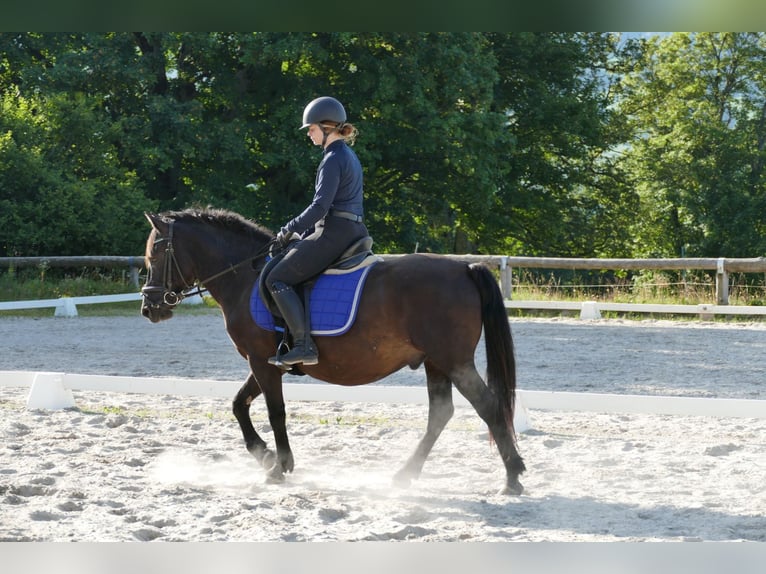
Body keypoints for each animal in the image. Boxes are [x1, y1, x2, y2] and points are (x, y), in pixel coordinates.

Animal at [141, 207, 524, 496]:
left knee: (488, 406)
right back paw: (405, 475)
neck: (243, 276)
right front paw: (265, 456)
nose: (149, 308)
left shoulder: (263, 362)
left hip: (454, 362)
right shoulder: (265, 362)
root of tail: (464, 267)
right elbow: (238, 405)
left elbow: (275, 412)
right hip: (436, 362)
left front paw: (278, 467)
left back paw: (512, 479)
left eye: (156, 253)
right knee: (441, 413)